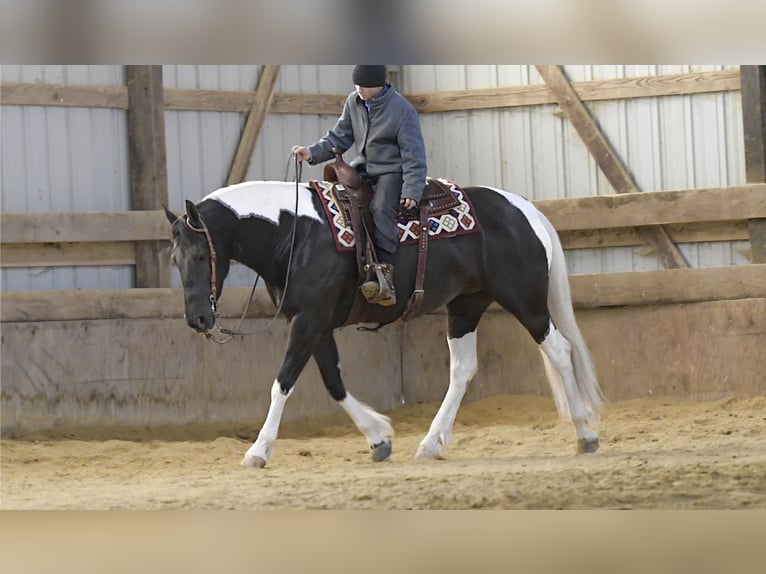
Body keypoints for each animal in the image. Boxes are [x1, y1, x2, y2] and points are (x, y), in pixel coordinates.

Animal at [164, 178, 604, 468]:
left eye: (201, 256)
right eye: (175, 258)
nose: (197, 318)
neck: (294, 232)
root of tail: (522, 207)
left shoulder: (307, 321)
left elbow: (282, 383)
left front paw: (258, 450)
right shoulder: (316, 324)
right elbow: (333, 382)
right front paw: (378, 436)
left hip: (526, 301)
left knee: (560, 350)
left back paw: (585, 433)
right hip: (465, 307)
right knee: (463, 370)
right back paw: (430, 443)